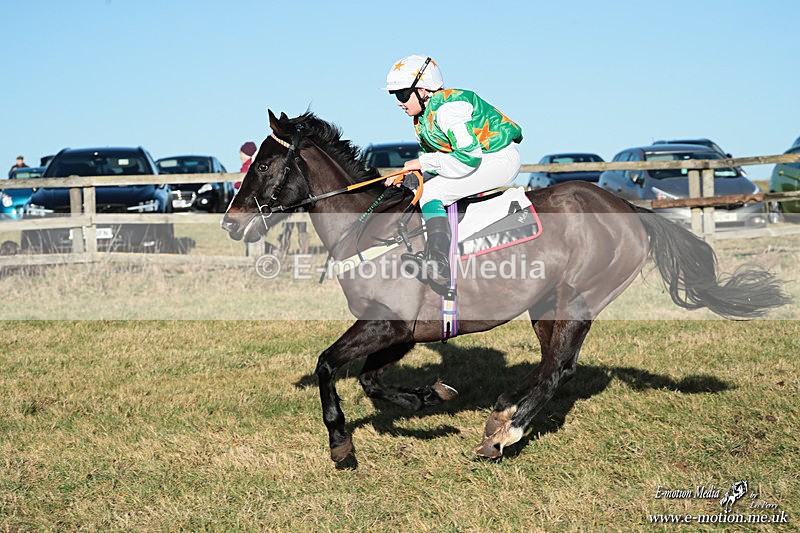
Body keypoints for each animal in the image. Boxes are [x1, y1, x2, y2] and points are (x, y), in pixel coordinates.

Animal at [222, 110, 789, 465]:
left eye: (264, 164)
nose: (230, 221)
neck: (368, 229)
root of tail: (630, 209)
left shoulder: (387, 324)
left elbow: (328, 366)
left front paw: (341, 442)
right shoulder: (401, 333)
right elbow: (372, 381)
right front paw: (428, 396)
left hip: (577, 298)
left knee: (559, 368)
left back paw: (506, 433)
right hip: (544, 304)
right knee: (550, 364)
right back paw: (501, 414)